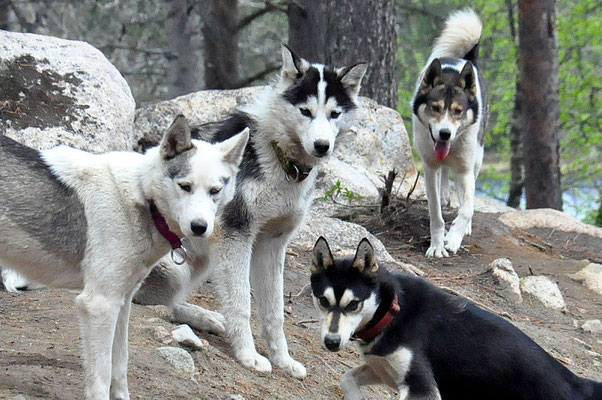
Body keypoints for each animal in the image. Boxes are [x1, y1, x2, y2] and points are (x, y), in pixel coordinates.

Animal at [0, 115, 246, 396]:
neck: (142, 197)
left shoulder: (122, 301)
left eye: (215, 191)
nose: (200, 227)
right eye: (185, 186)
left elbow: (120, 366)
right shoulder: (99, 305)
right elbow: (102, 376)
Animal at [135, 44, 366, 378]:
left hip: (202, 262)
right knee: (149, 303)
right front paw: (248, 355)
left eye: (334, 114)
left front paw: (283, 360)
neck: (279, 159)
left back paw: (207, 318)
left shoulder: (272, 245)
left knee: (173, 303)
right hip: (178, 266)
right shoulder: (236, 237)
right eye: (305, 111)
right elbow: (242, 303)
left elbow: (275, 313)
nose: (322, 145)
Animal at [310, 238, 600, 400]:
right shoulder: (383, 370)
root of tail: (581, 385)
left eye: (354, 304)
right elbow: (347, 379)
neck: (393, 312)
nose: (332, 342)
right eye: (323, 301)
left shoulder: (421, 389)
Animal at [412, 10, 488, 260]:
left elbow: (467, 208)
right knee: (445, 174)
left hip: (478, 158)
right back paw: (445, 194)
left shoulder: (465, 169)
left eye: (457, 111)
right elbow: (435, 214)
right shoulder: (429, 167)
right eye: (435, 108)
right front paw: (437, 245)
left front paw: (454, 238)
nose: (444, 133)